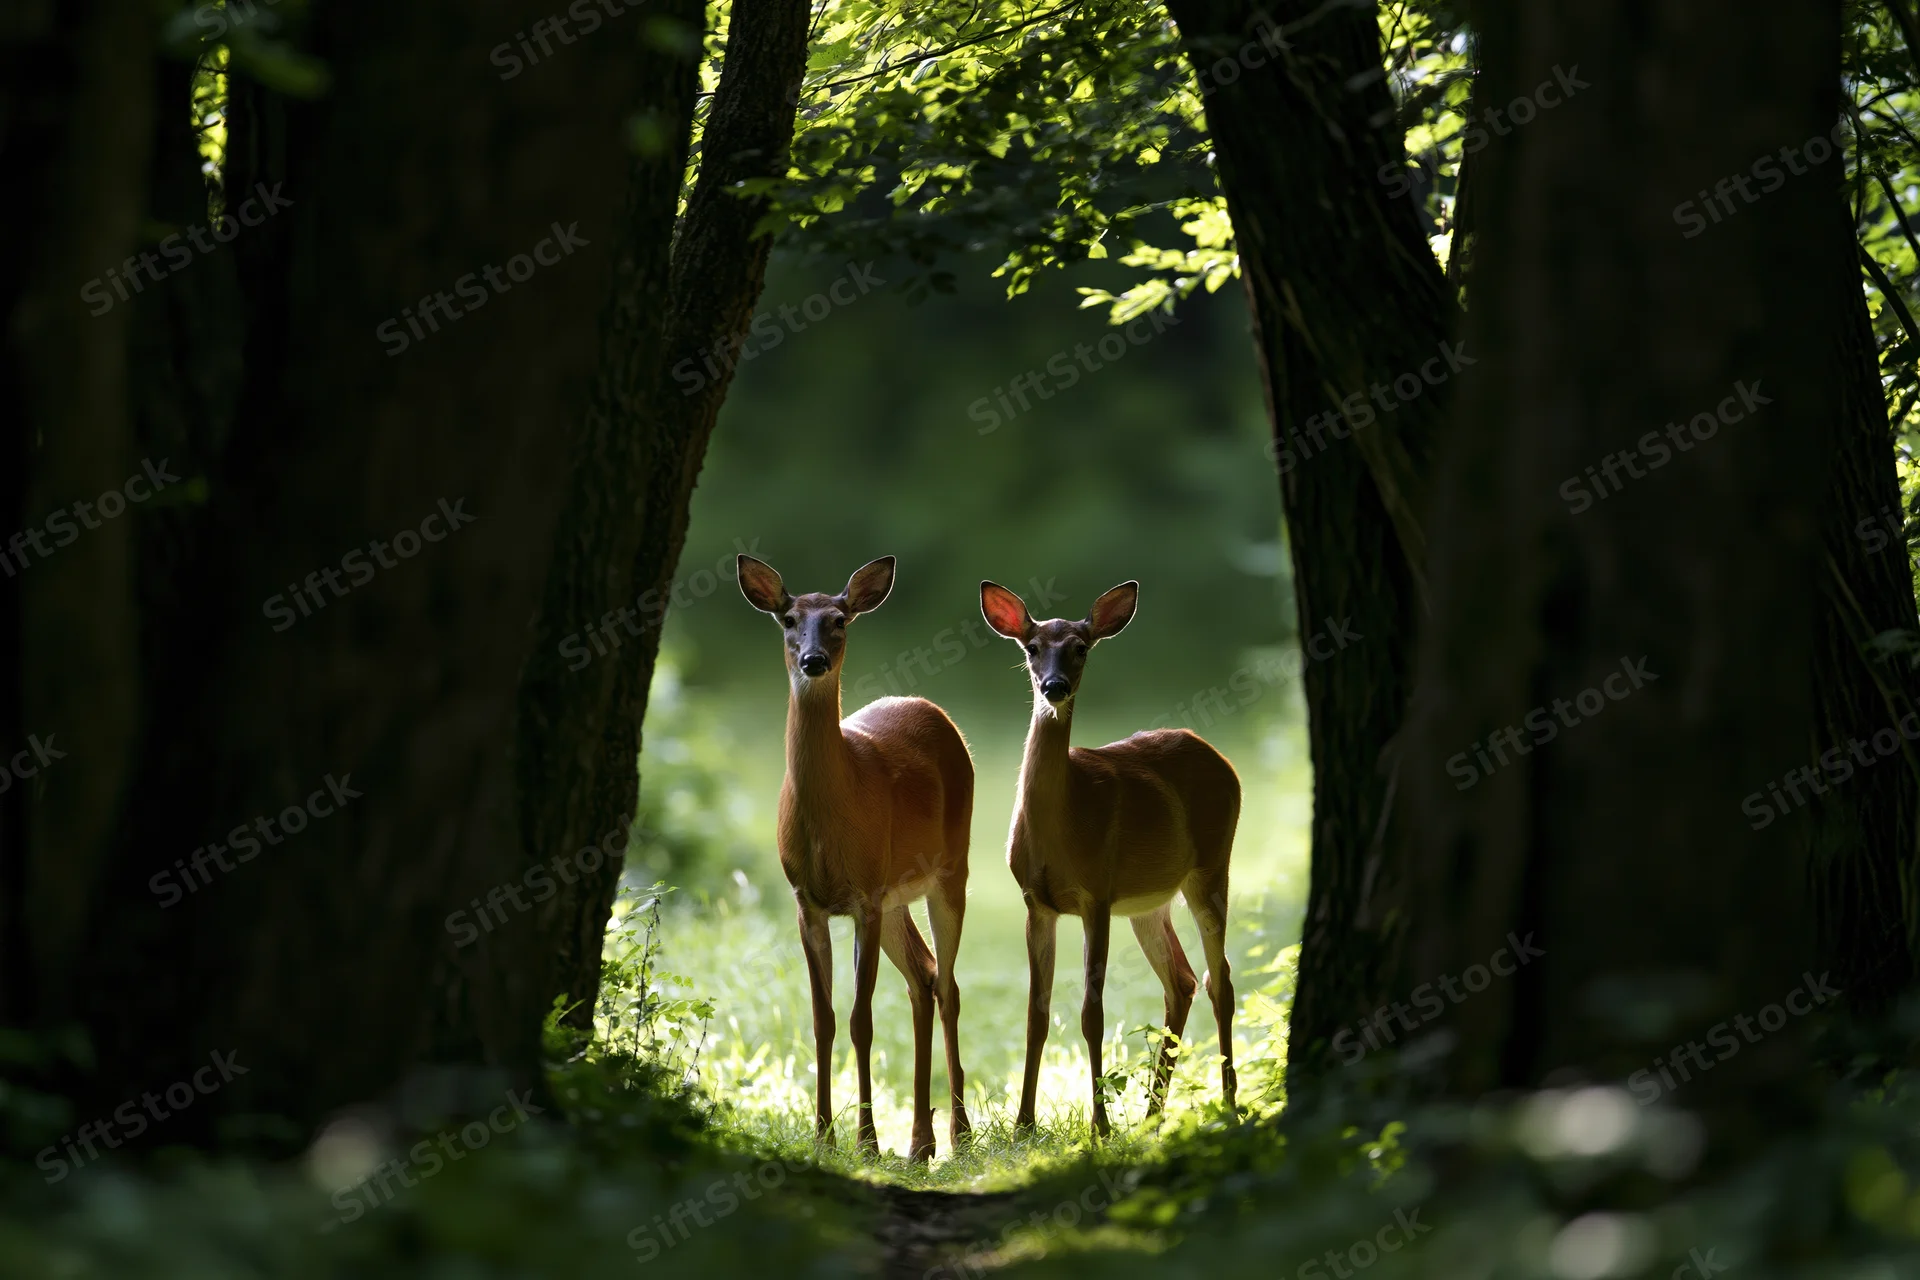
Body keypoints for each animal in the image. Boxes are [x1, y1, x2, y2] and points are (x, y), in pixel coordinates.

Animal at [737, 554, 973, 1162]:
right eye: (789, 618)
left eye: (840, 619)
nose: (814, 659)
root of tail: (933, 710)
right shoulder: (809, 901)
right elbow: (822, 1019)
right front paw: (823, 1134)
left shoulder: (864, 897)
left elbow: (861, 1018)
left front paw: (866, 1142)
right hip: (895, 899)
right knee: (924, 976)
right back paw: (920, 1141)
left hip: (950, 871)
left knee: (948, 986)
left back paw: (958, 1134)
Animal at [980, 578, 1241, 1138]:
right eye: (1032, 648)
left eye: (1081, 648)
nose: (1053, 687)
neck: (1063, 823)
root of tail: (1218, 756)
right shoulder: (1036, 902)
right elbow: (1036, 1013)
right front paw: (1024, 1124)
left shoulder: (1095, 895)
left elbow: (1091, 1013)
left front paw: (1099, 1125)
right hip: (1149, 903)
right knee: (1182, 981)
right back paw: (1151, 1117)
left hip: (1212, 866)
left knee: (1221, 981)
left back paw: (1229, 1106)